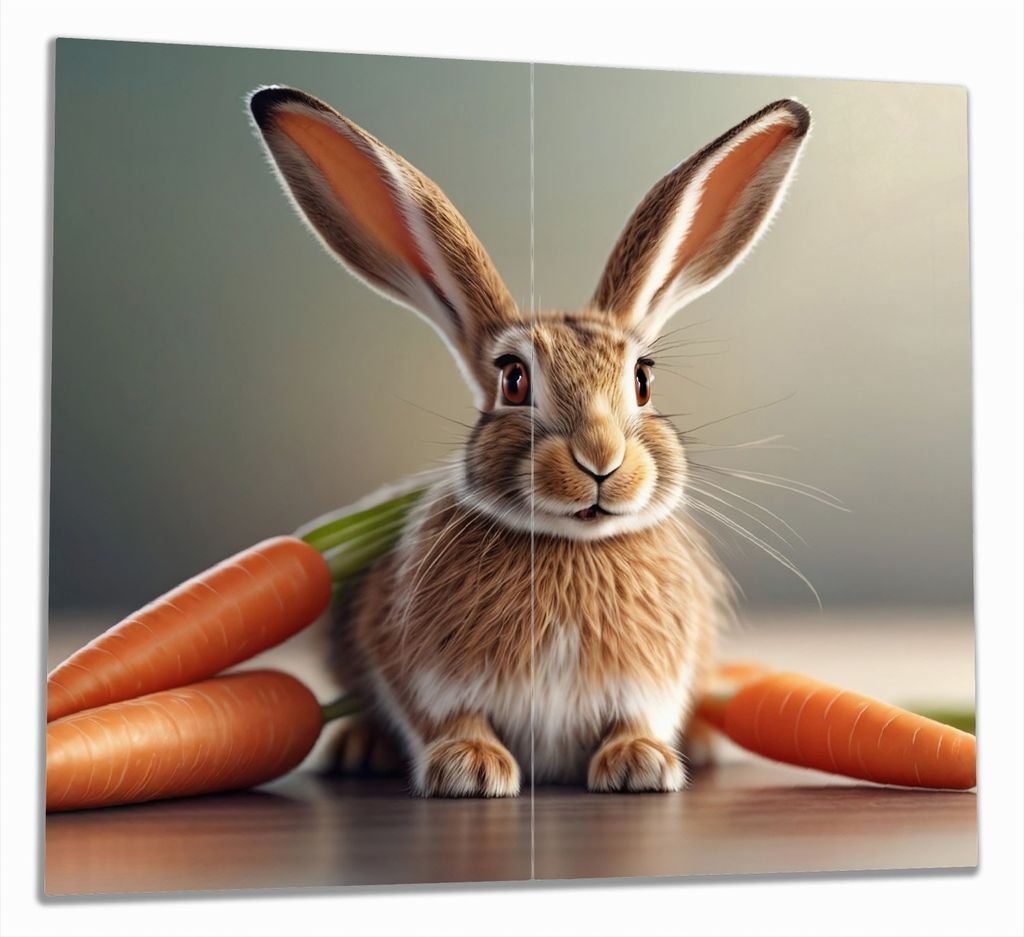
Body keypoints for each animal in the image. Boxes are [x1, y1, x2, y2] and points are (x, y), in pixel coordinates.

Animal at [249, 86, 811, 796]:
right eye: (514, 380)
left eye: (643, 379)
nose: (601, 460)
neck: (571, 543)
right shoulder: (423, 674)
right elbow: (447, 718)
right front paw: (469, 769)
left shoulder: (654, 680)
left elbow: (638, 718)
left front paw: (641, 763)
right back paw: (360, 747)